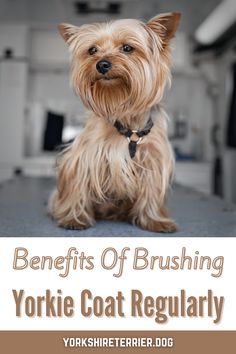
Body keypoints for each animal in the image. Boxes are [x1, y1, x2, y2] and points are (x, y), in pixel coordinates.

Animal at [48, 11, 181, 232]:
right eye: (92, 50)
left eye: (127, 48)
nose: (101, 64)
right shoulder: (82, 156)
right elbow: (77, 184)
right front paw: (74, 218)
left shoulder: (154, 158)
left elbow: (152, 191)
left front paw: (154, 220)